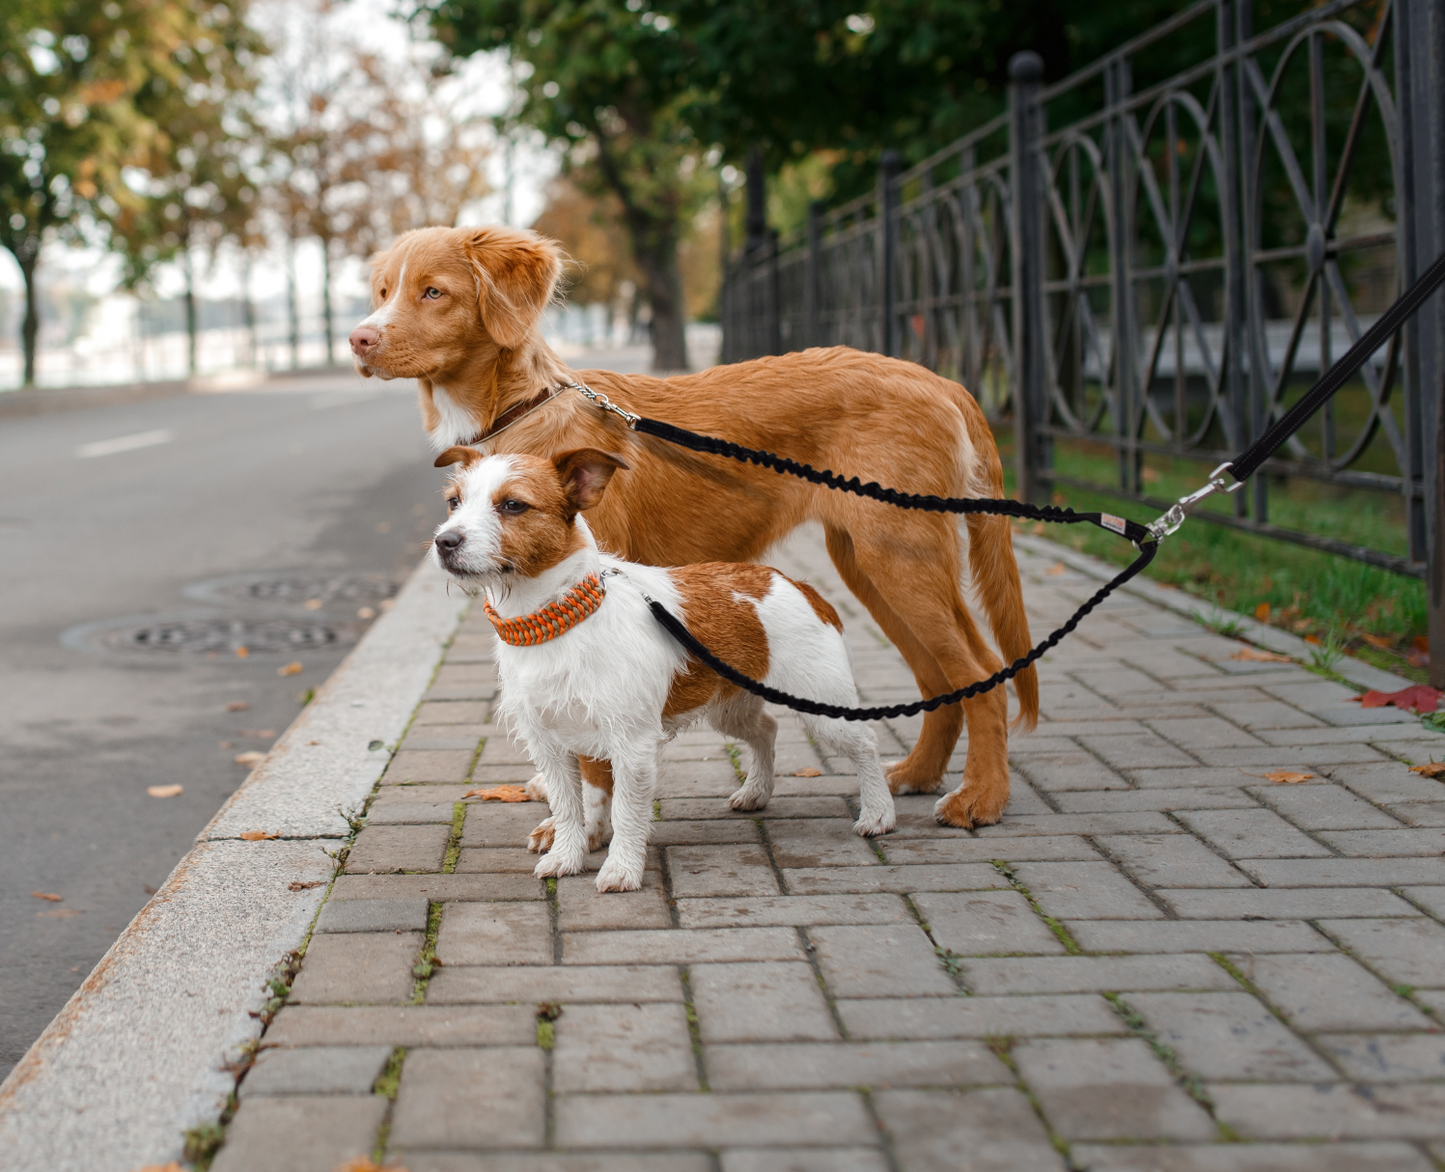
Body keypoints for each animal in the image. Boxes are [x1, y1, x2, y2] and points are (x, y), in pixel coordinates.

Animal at [345, 219, 1034, 826]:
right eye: (381, 291)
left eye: (434, 291)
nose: (358, 340)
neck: (519, 410)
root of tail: (938, 379)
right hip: (868, 563)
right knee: (940, 676)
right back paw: (919, 774)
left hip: (900, 555)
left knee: (982, 672)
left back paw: (982, 798)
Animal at [433, 445, 895, 895]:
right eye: (454, 502)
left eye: (513, 505)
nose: (444, 541)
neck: (556, 622)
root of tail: (798, 585)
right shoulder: (550, 744)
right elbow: (568, 807)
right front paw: (567, 856)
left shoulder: (632, 745)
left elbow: (625, 811)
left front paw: (621, 869)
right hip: (729, 707)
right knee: (766, 729)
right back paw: (756, 792)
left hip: (822, 706)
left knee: (866, 744)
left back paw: (878, 811)